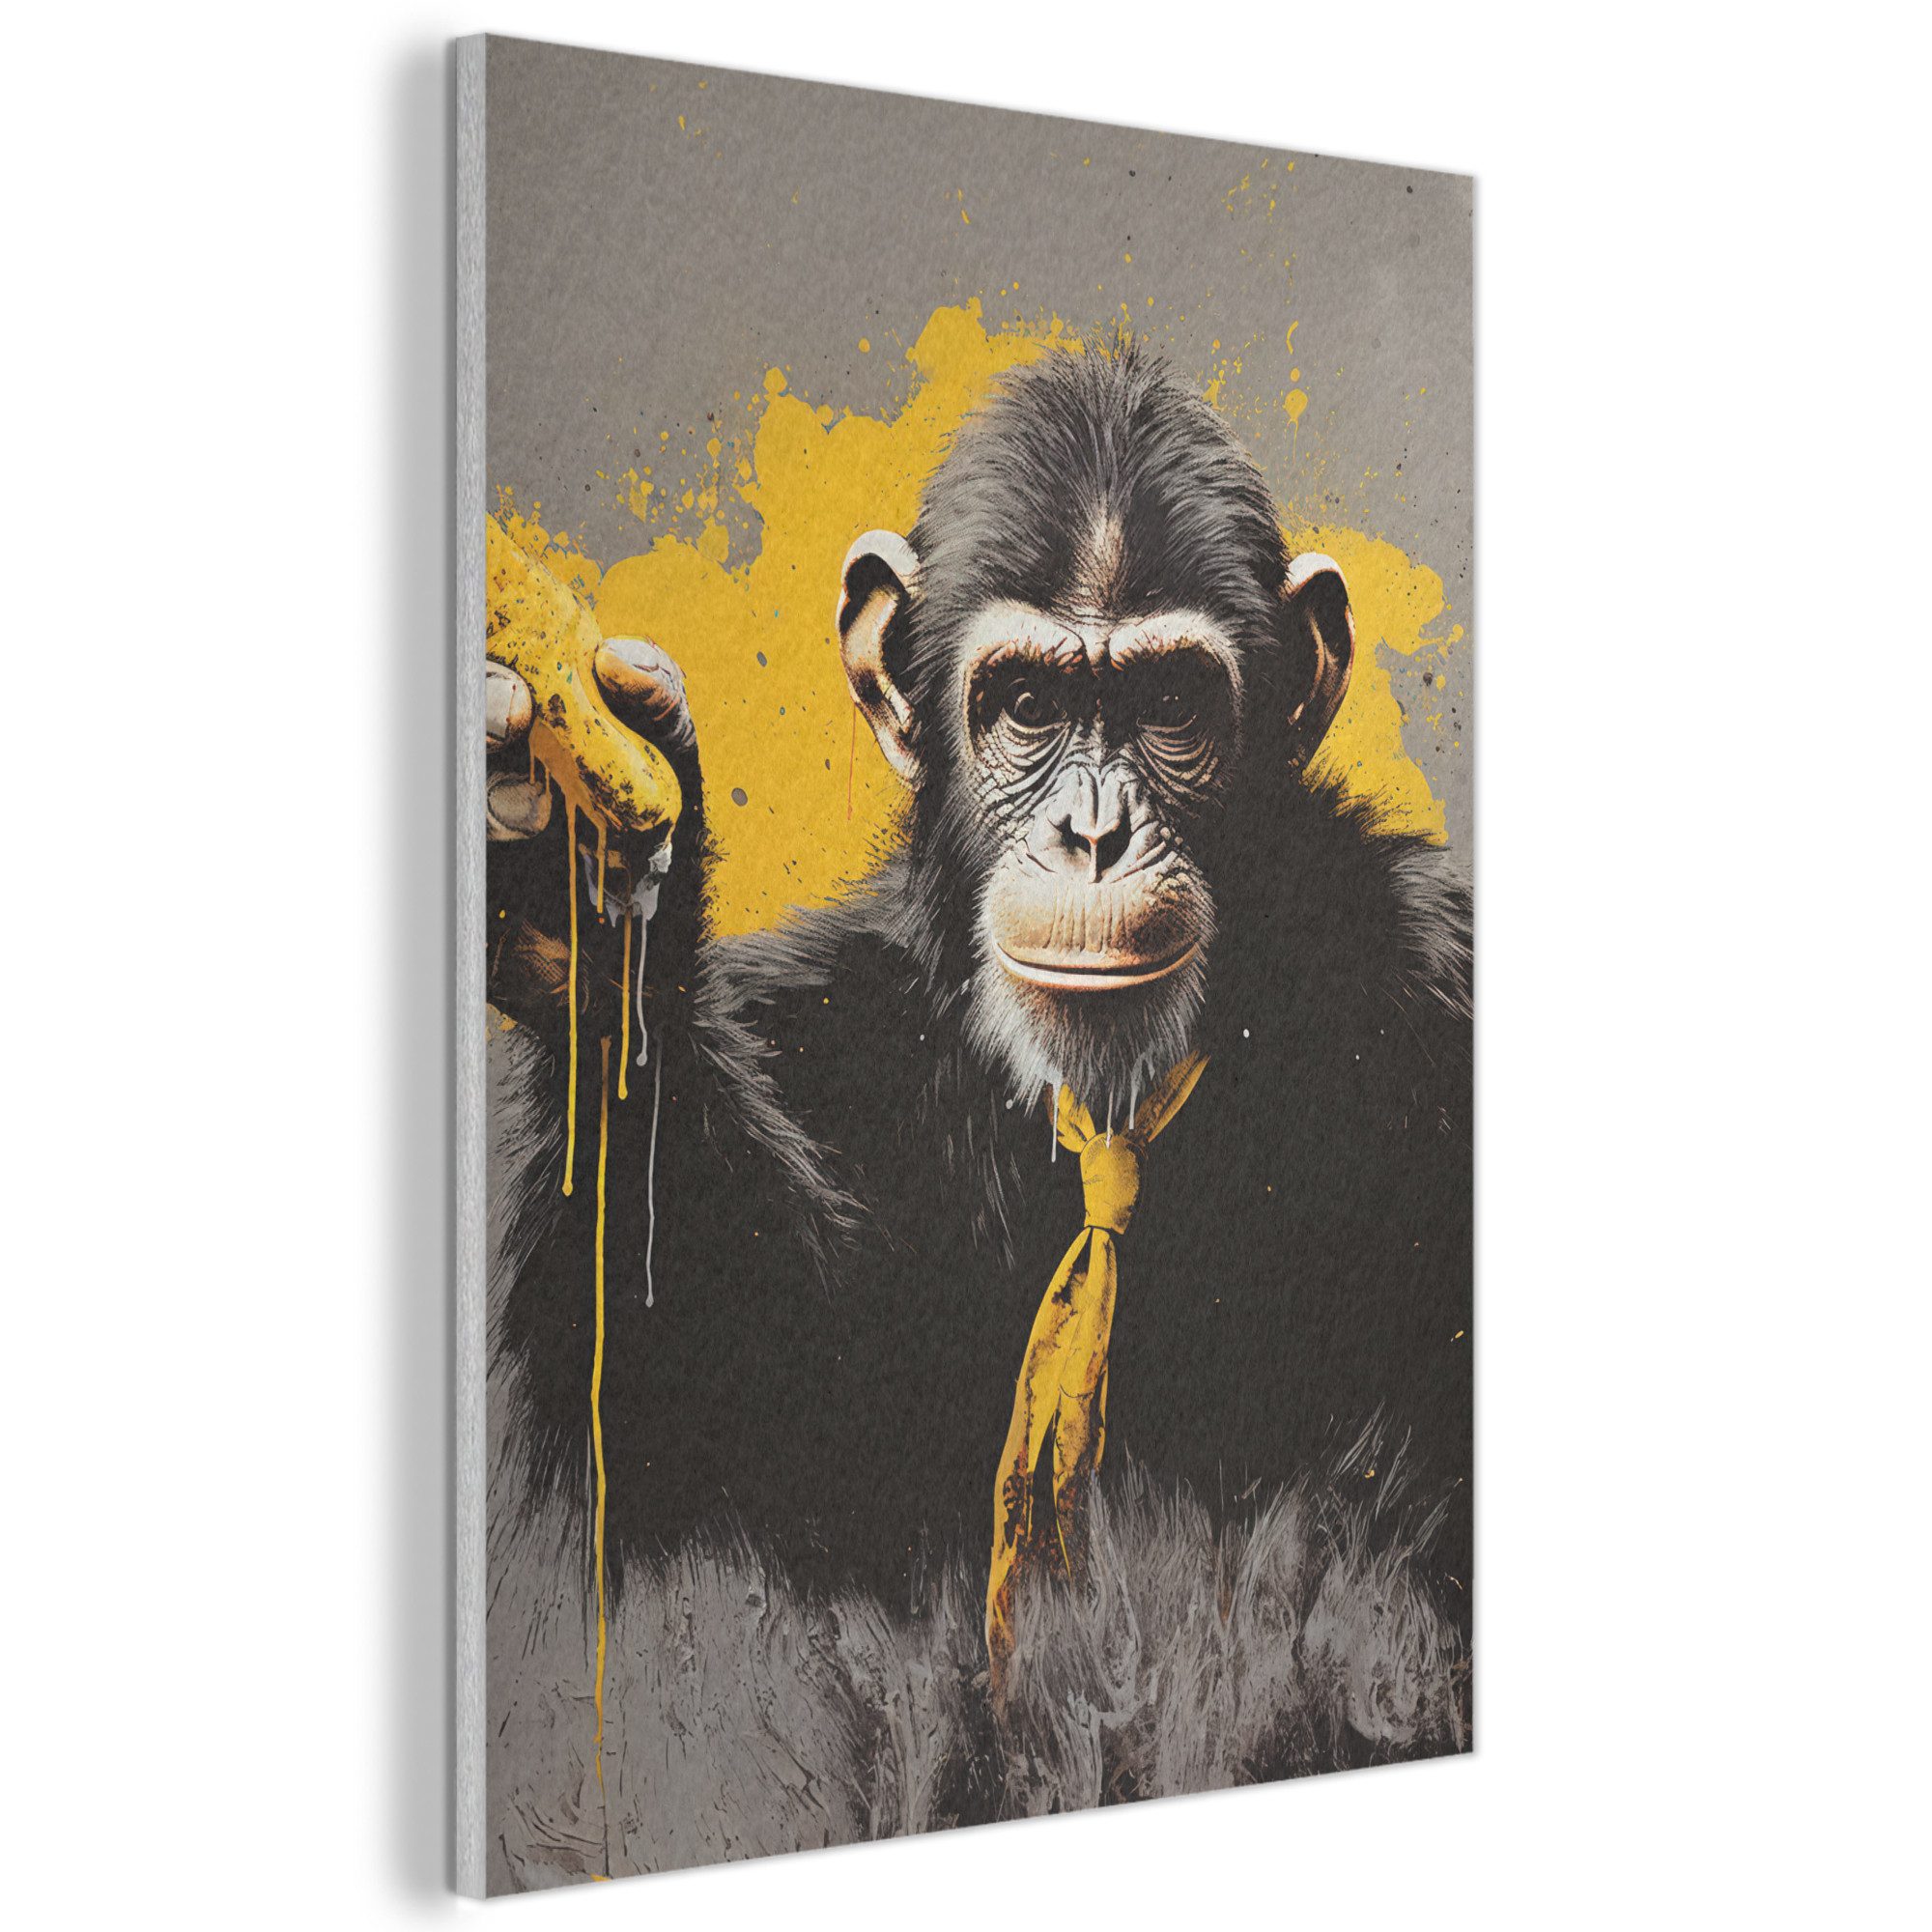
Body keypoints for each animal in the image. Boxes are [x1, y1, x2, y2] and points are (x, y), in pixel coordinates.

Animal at [483, 343, 1472, 1643]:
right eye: (1028, 706)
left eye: (1170, 706)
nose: (1093, 834)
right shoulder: (808, 1011)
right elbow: (692, 1433)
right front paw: (592, 912)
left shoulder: (1442, 980)